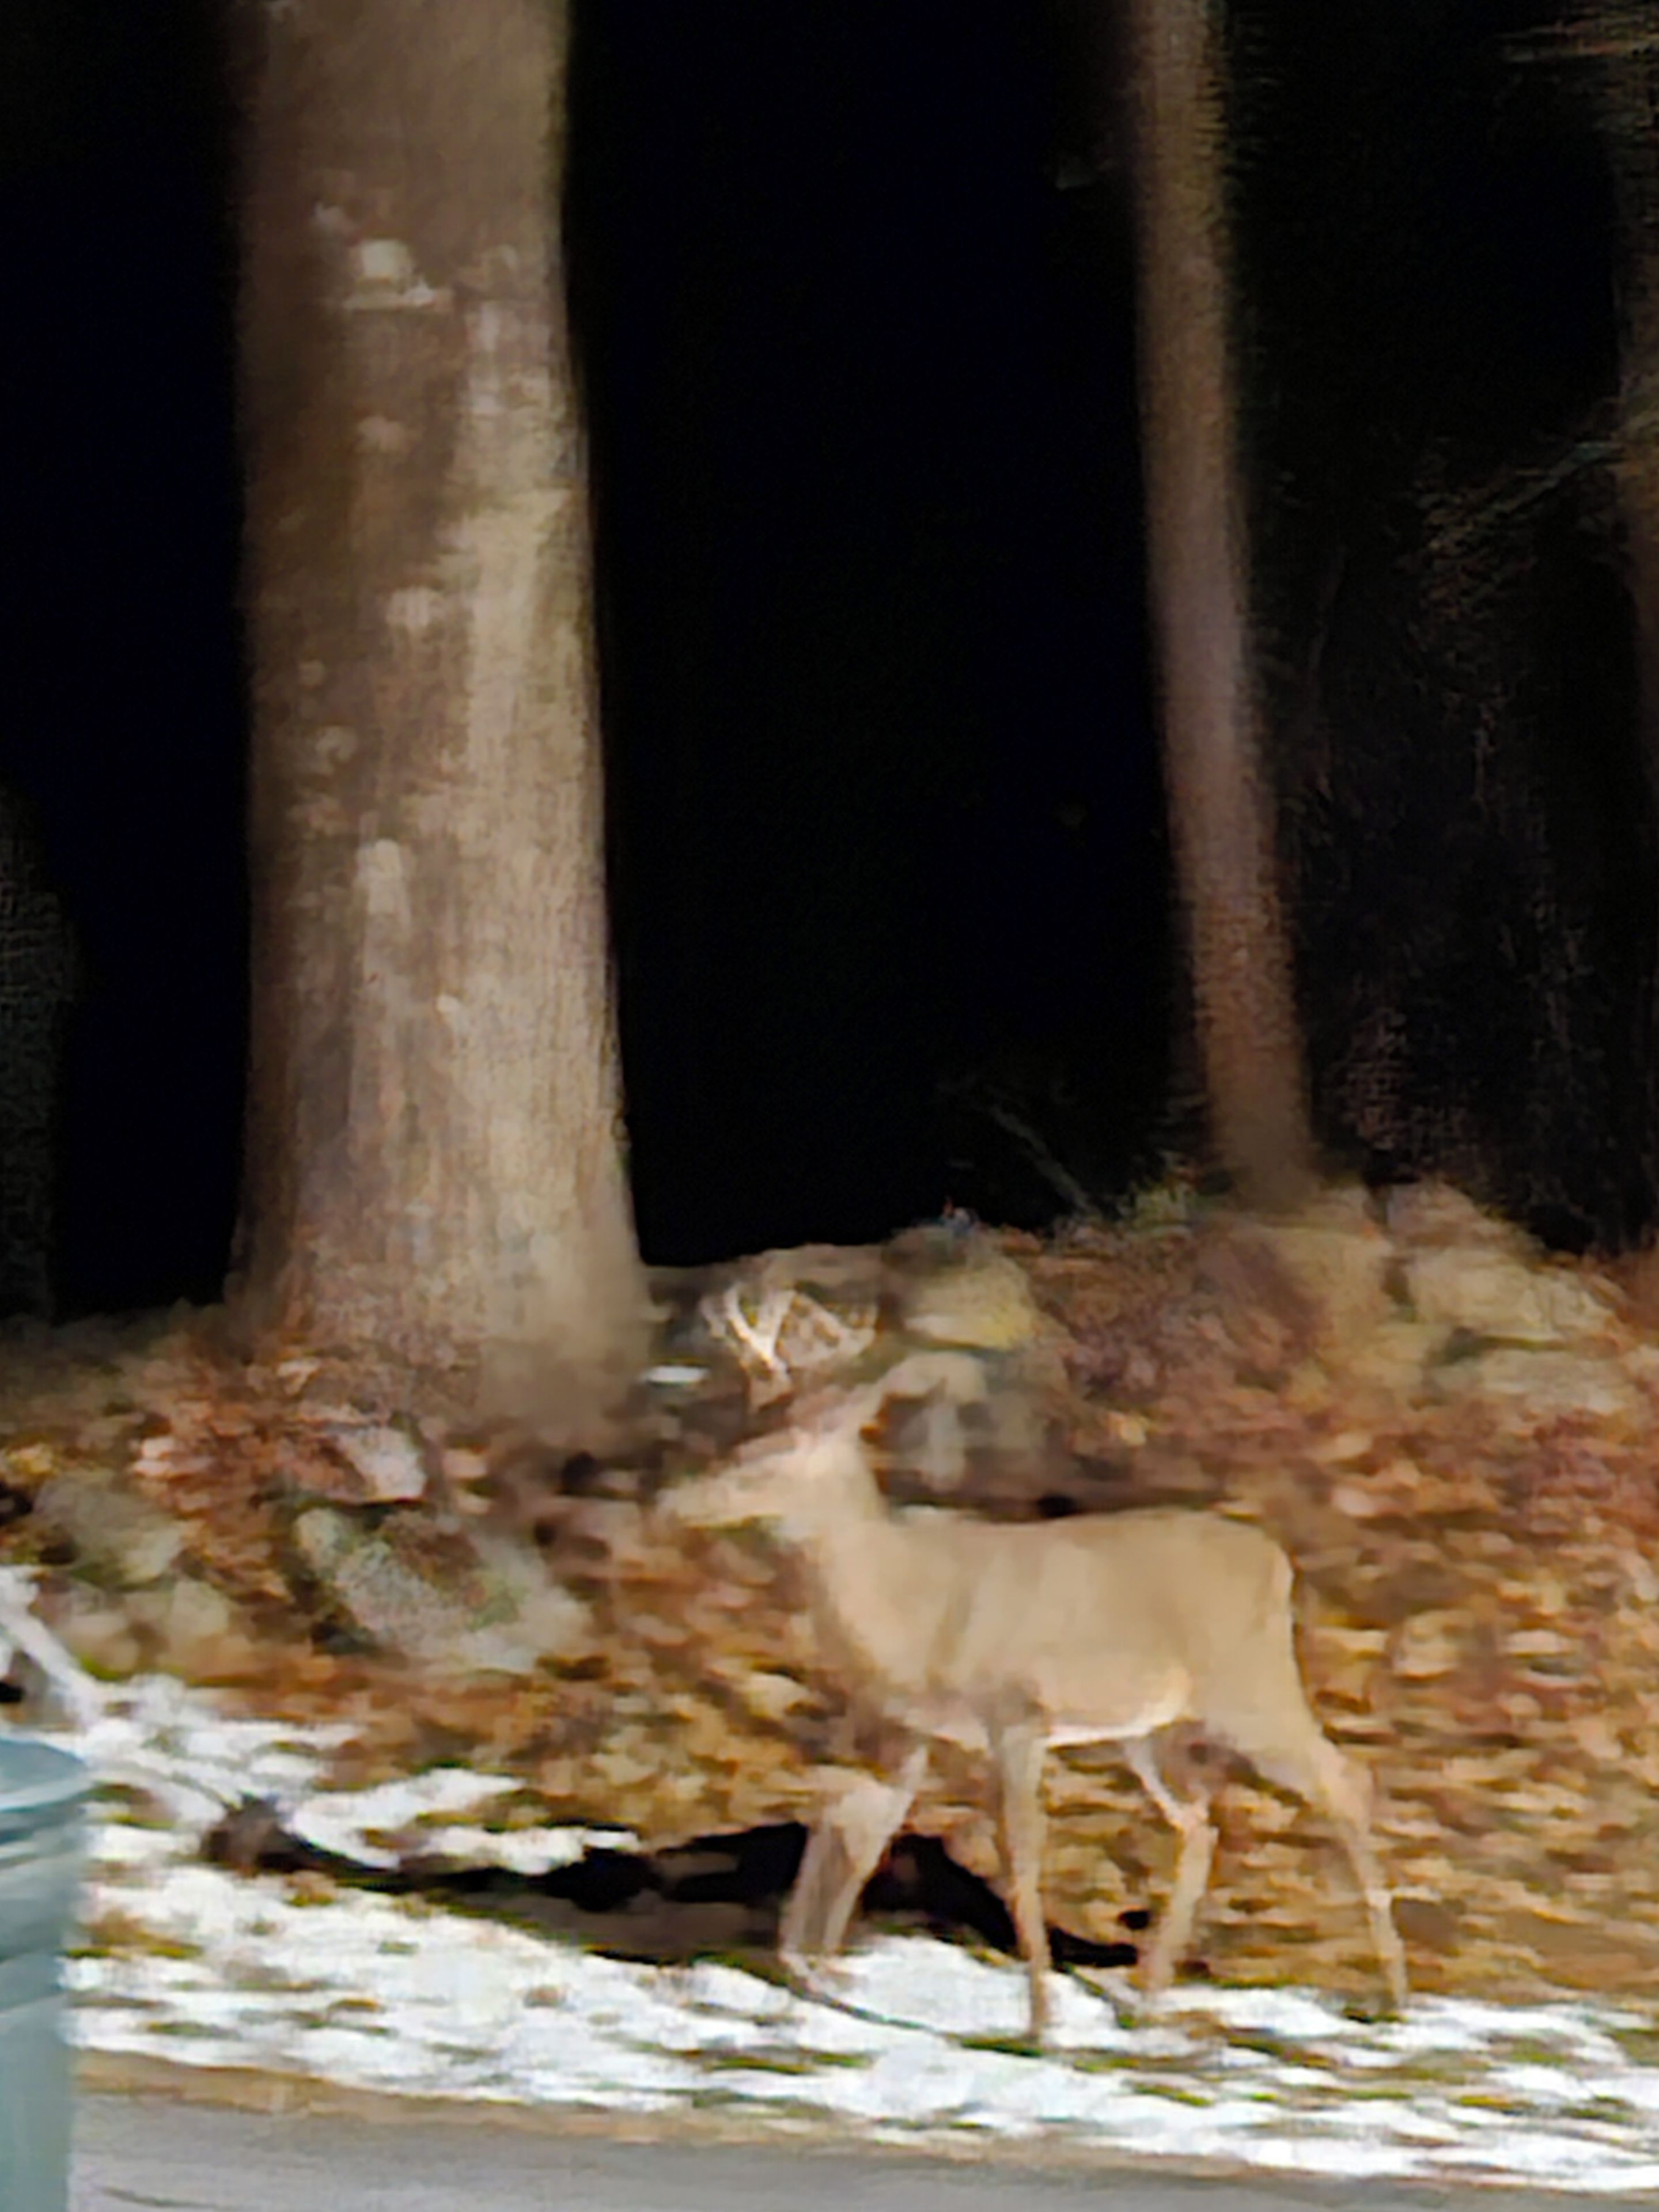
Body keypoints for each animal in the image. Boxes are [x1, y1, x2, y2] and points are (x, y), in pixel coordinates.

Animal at [662, 1375, 1407, 2042]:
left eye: (763, 1454)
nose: (674, 1500)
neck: (900, 1606)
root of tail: (1278, 1563)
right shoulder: (901, 1726)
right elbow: (851, 1829)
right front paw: (803, 1979)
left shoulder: (1016, 1714)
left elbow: (1018, 1858)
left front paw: (1041, 2019)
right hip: (1155, 1730)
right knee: (1201, 1826)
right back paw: (1147, 1999)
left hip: (1249, 1689)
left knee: (1346, 1780)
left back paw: (1393, 1996)